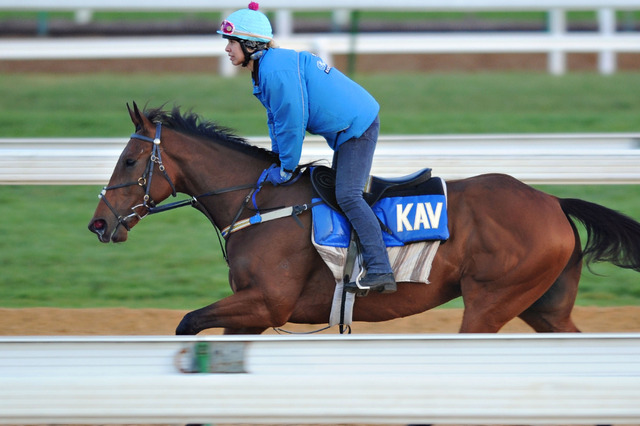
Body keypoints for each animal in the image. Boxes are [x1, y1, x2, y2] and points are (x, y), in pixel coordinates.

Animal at [88, 103, 640, 335]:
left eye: (130, 161)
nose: (98, 224)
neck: (259, 204)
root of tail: (551, 201)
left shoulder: (267, 303)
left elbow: (186, 323)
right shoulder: (255, 315)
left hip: (490, 302)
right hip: (544, 307)